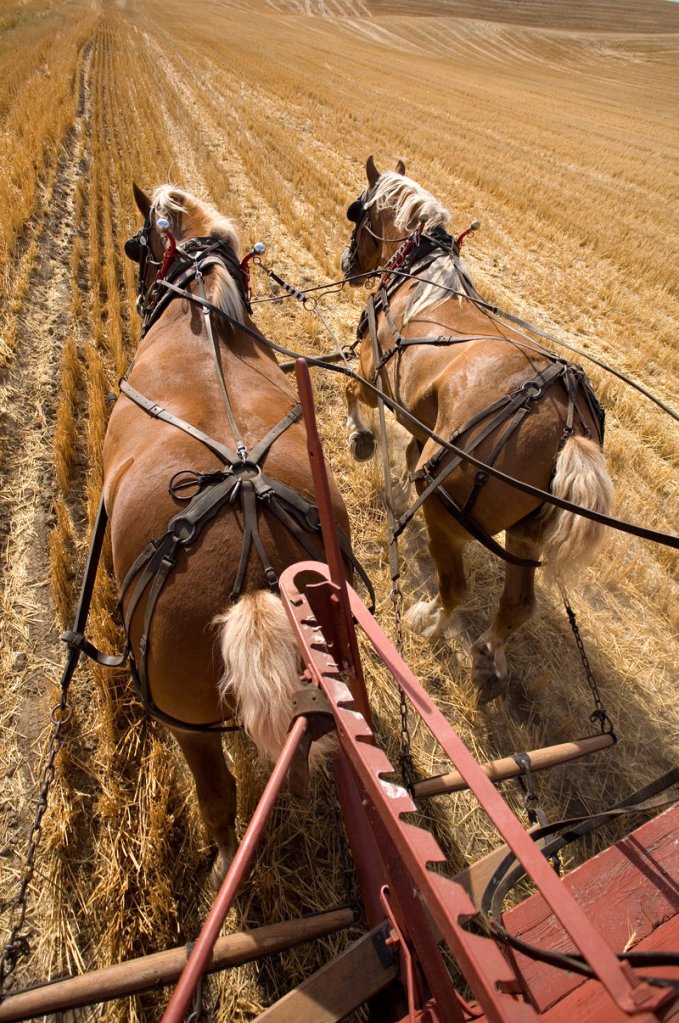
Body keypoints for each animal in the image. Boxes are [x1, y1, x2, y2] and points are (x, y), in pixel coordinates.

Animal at [341, 157, 613, 703]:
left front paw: (360, 439)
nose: (347, 265)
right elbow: (408, 458)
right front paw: (396, 492)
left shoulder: (371, 373)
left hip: (451, 511)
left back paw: (427, 620)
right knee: (518, 605)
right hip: (526, 533)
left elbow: (349, 392)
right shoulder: (421, 421)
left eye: (357, 211)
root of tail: (570, 428)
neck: (421, 282)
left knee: (456, 588)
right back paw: (489, 656)